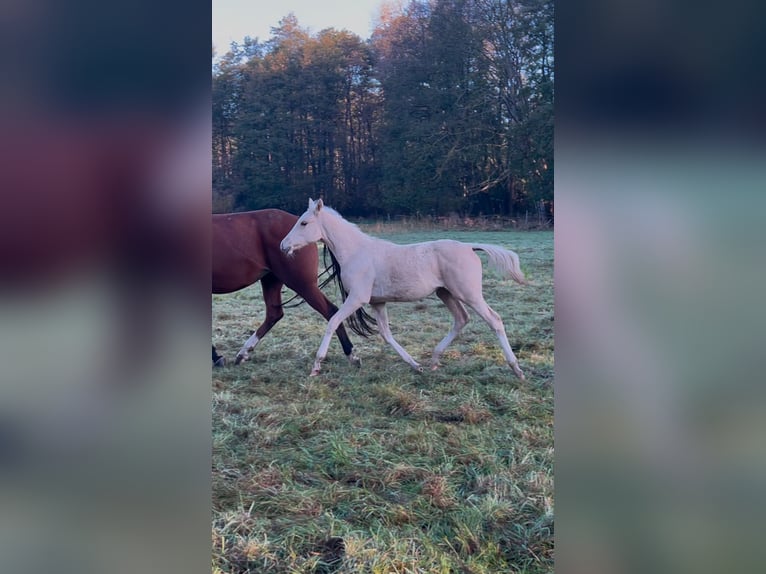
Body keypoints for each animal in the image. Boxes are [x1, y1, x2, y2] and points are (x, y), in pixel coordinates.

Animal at [213, 209, 364, 366]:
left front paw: (216, 357)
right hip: (272, 280)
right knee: (274, 314)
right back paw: (244, 352)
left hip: (302, 284)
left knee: (331, 311)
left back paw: (351, 354)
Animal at [284, 200, 532, 380]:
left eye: (304, 223)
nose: (283, 246)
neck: (357, 252)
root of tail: (469, 247)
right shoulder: (377, 302)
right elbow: (386, 334)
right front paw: (415, 365)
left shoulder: (357, 298)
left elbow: (333, 322)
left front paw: (316, 366)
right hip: (445, 293)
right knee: (462, 319)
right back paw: (433, 361)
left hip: (468, 294)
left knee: (494, 319)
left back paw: (516, 369)